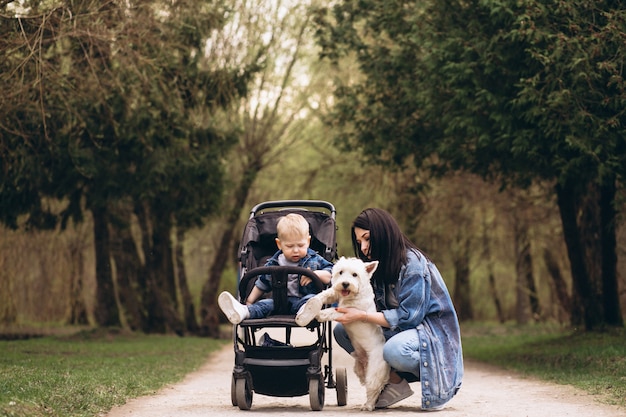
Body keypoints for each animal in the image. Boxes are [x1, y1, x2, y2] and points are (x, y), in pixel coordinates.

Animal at [294, 256, 388, 410]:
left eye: (355, 274)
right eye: (341, 272)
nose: (345, 284)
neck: (352, 294)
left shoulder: (348, 312)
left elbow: (332, 311)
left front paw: (318, 314)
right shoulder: (336, 293)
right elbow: (328, 293)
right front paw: (310, 306)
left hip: (375, 369)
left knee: (373, 387)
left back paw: (368, 406)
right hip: (359, 367)